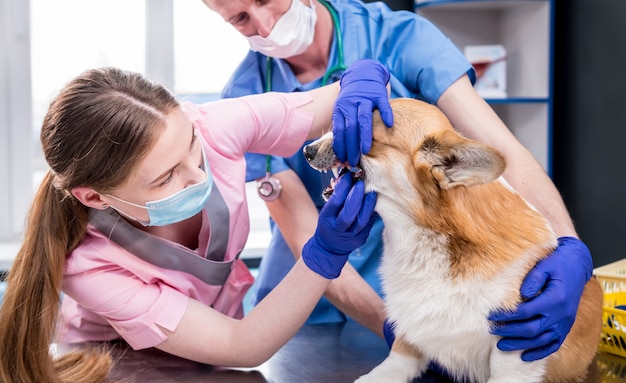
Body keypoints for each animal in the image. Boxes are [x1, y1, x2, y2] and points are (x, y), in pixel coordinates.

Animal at [304, 97, 604, 382]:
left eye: (363, 137)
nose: (307, 150)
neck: (426, 236)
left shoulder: (517, 345)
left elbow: (505, 372)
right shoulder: (410, 331)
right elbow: (395, 360)